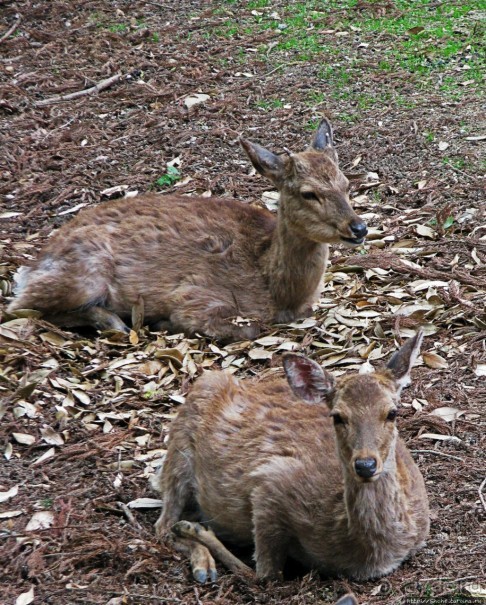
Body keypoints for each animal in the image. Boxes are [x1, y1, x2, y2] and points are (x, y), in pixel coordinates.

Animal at [7, 118, 366, 342]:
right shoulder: (197, 294)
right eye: (308, 193)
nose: (358, 227)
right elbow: (244, 328)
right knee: (23, 309)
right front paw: (164, 321)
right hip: (83, 275)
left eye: (346, 184)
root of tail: (31, 267)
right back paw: (115, 321)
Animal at [153, 330, 430, 580]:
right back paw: (200, 560)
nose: (365, 465)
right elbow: (263, 575)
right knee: (162, 525)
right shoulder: (269, 485)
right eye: (337, 416)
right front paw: (194, 532)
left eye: (392, 413)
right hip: (179, 449)